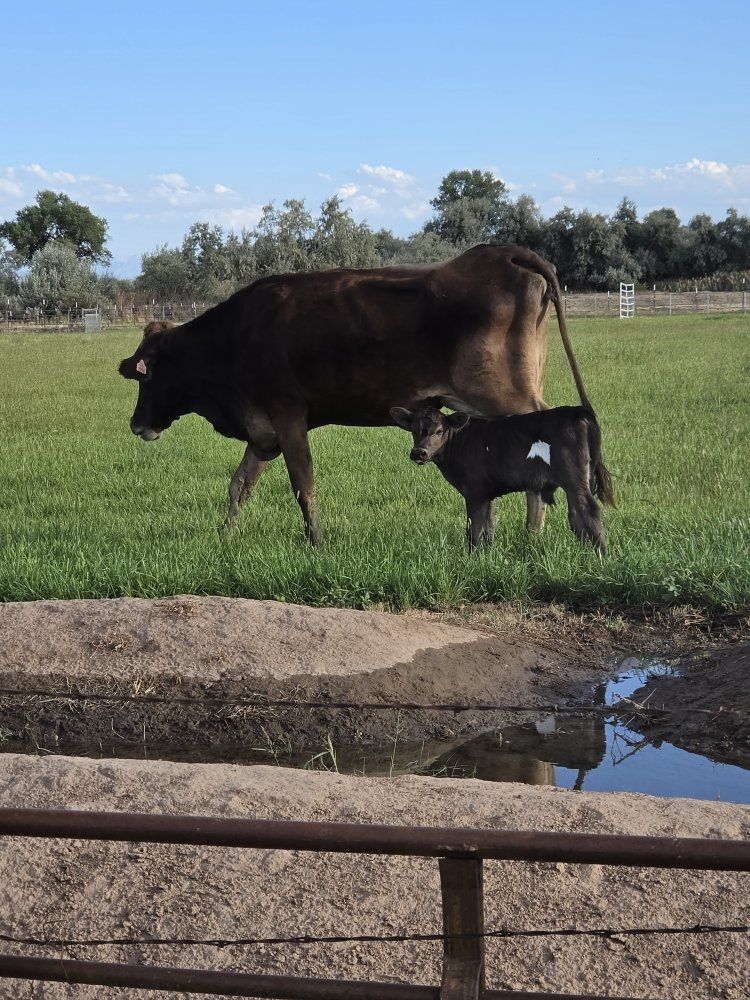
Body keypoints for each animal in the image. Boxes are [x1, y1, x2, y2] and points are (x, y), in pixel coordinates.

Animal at [118, 244, 594, 545]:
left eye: (145, 377)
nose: (136, 424)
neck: (234, 341)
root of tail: (502, 252)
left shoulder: (288, 416)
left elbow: (303, 484)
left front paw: (316, 543)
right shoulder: (263, 432)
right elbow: (239, 486)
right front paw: (225, 536)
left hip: (506, 396)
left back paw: (533, 536)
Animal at [390, 404, 614, 551]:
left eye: (439, 431)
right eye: (414, 431)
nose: (419, 453)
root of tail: (578, 411)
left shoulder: (474, 491)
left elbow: (474, 526)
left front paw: (472, 556)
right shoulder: (487, 493)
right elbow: (488, 524)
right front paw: (487, 554)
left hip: (574, 478)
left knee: (589, 510)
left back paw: (600, 553)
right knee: (576, 514)